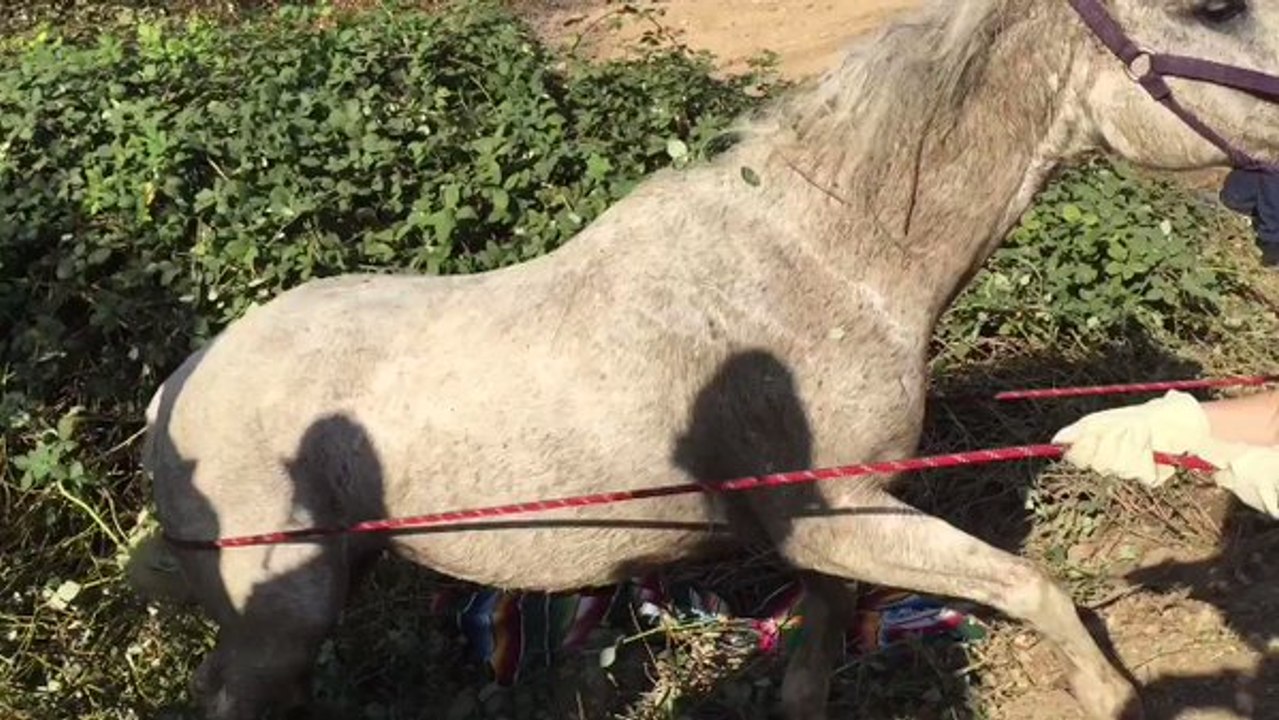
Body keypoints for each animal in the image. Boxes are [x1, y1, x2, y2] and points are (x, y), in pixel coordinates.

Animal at [126, 0, 1279, 718]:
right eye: (1214, 7)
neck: (827, 262)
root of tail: (171, 395)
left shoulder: (828, 545)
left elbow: (814, 670)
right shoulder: (841, 518)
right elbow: (1035, 589)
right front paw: (1114, 696)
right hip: (282, 616)